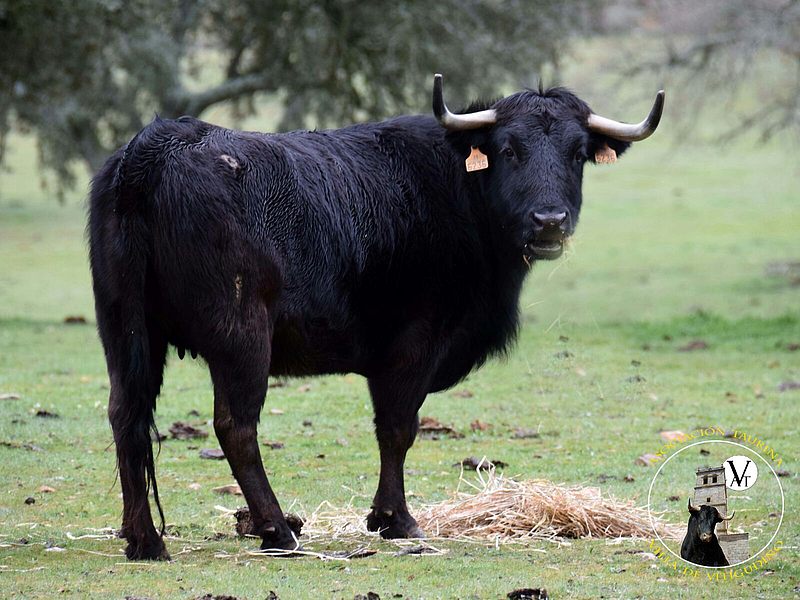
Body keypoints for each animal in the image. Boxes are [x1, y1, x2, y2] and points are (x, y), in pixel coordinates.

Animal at [89, 74, 664, 559]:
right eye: (508, 149)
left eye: (578, 153)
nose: (550, 221)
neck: (460, 191)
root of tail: (156, 147)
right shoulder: (415, 345)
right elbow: (397, 429)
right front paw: (396, 519)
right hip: (241, 337)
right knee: (236, 426)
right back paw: (277, 530)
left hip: (125, 332)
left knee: (127, 417)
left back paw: (144, 540)